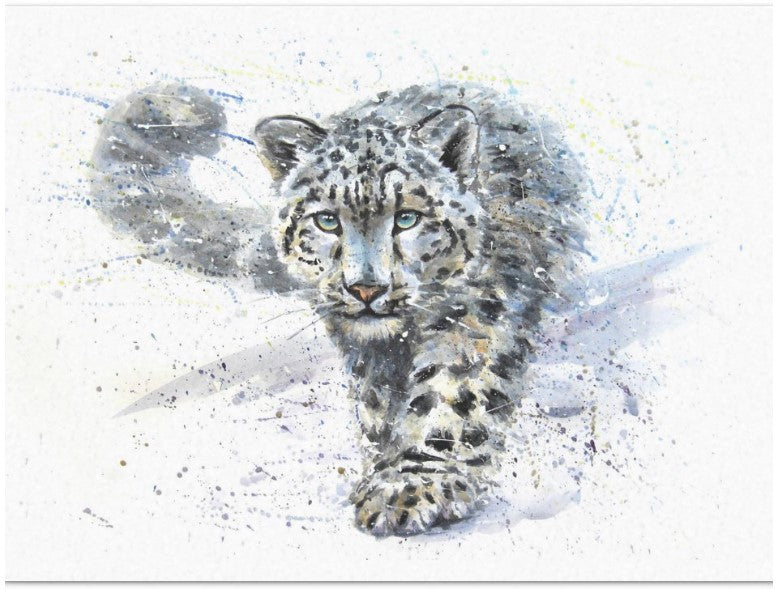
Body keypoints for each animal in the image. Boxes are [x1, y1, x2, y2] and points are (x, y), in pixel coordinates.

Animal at [90, 81, 588, 536]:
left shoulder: (474, 317)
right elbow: (378, 403)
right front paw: (387, 462)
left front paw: (410, 484)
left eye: (407, 217)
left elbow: (451, 396)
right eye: (326, 220)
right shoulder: (368, 351)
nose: (365, 288)